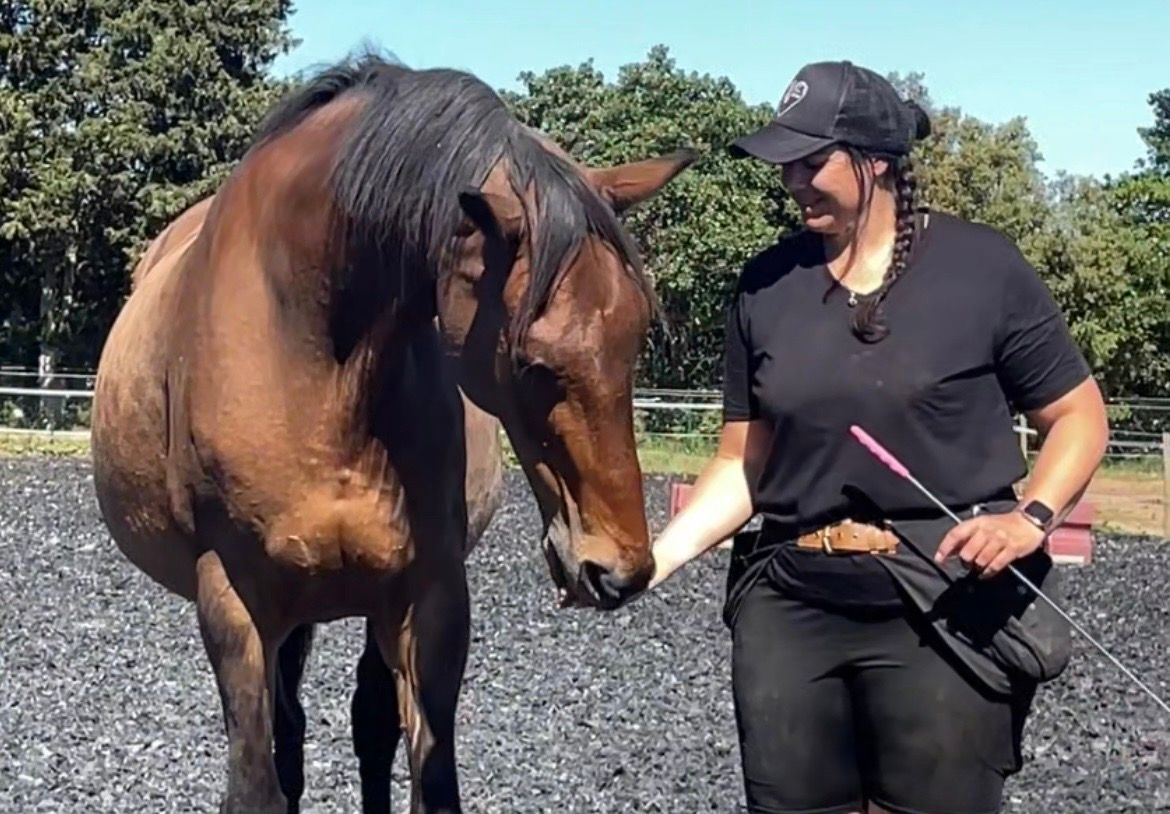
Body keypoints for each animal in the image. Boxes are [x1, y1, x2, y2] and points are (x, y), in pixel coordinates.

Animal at [90, 53, 696, 814]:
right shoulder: (233, 602)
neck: (316, 357)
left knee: (369, 724)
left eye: (636, 335)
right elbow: (257, 780)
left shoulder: (429, 598)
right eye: (531, 361)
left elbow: (424, 774)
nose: (619, 569)